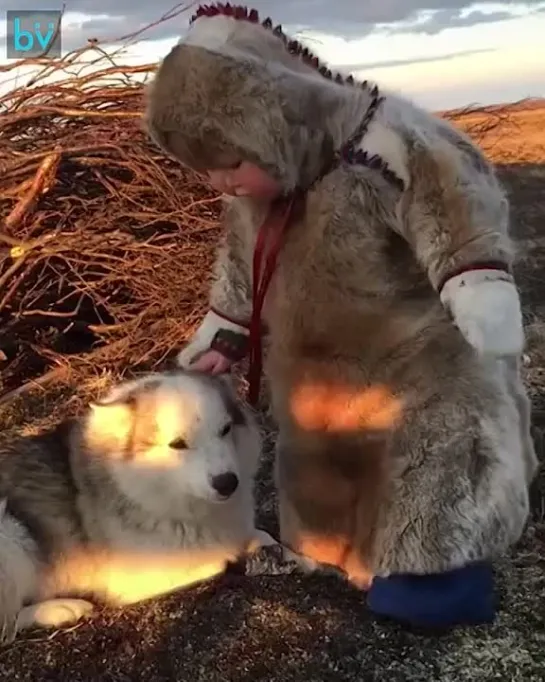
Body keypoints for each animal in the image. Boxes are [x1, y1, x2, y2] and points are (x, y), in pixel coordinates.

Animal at [0, 370, 302, 640]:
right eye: (177, 444)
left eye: (225, 430)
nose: (227, 483)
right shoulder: (133, 581)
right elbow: (220, 559)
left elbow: (262, 536)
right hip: (11, 533)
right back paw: (59, 609)